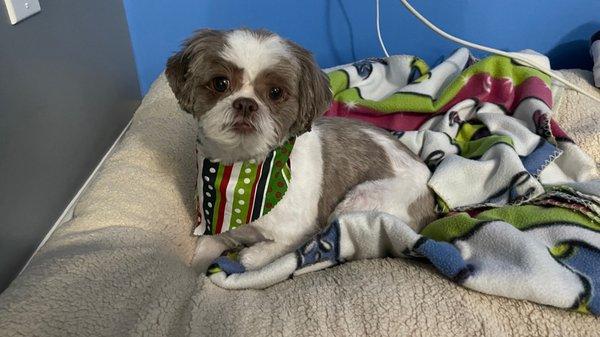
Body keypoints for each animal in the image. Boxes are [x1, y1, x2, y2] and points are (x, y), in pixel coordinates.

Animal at [164, 27, 436, 272]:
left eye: (275, 92)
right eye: (220, 83)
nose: (246, 104)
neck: (241, 173)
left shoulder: (297, 232)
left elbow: (253, 257)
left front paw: (247, 256)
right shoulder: (216, 231)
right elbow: (200, 258)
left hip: (360, 204)